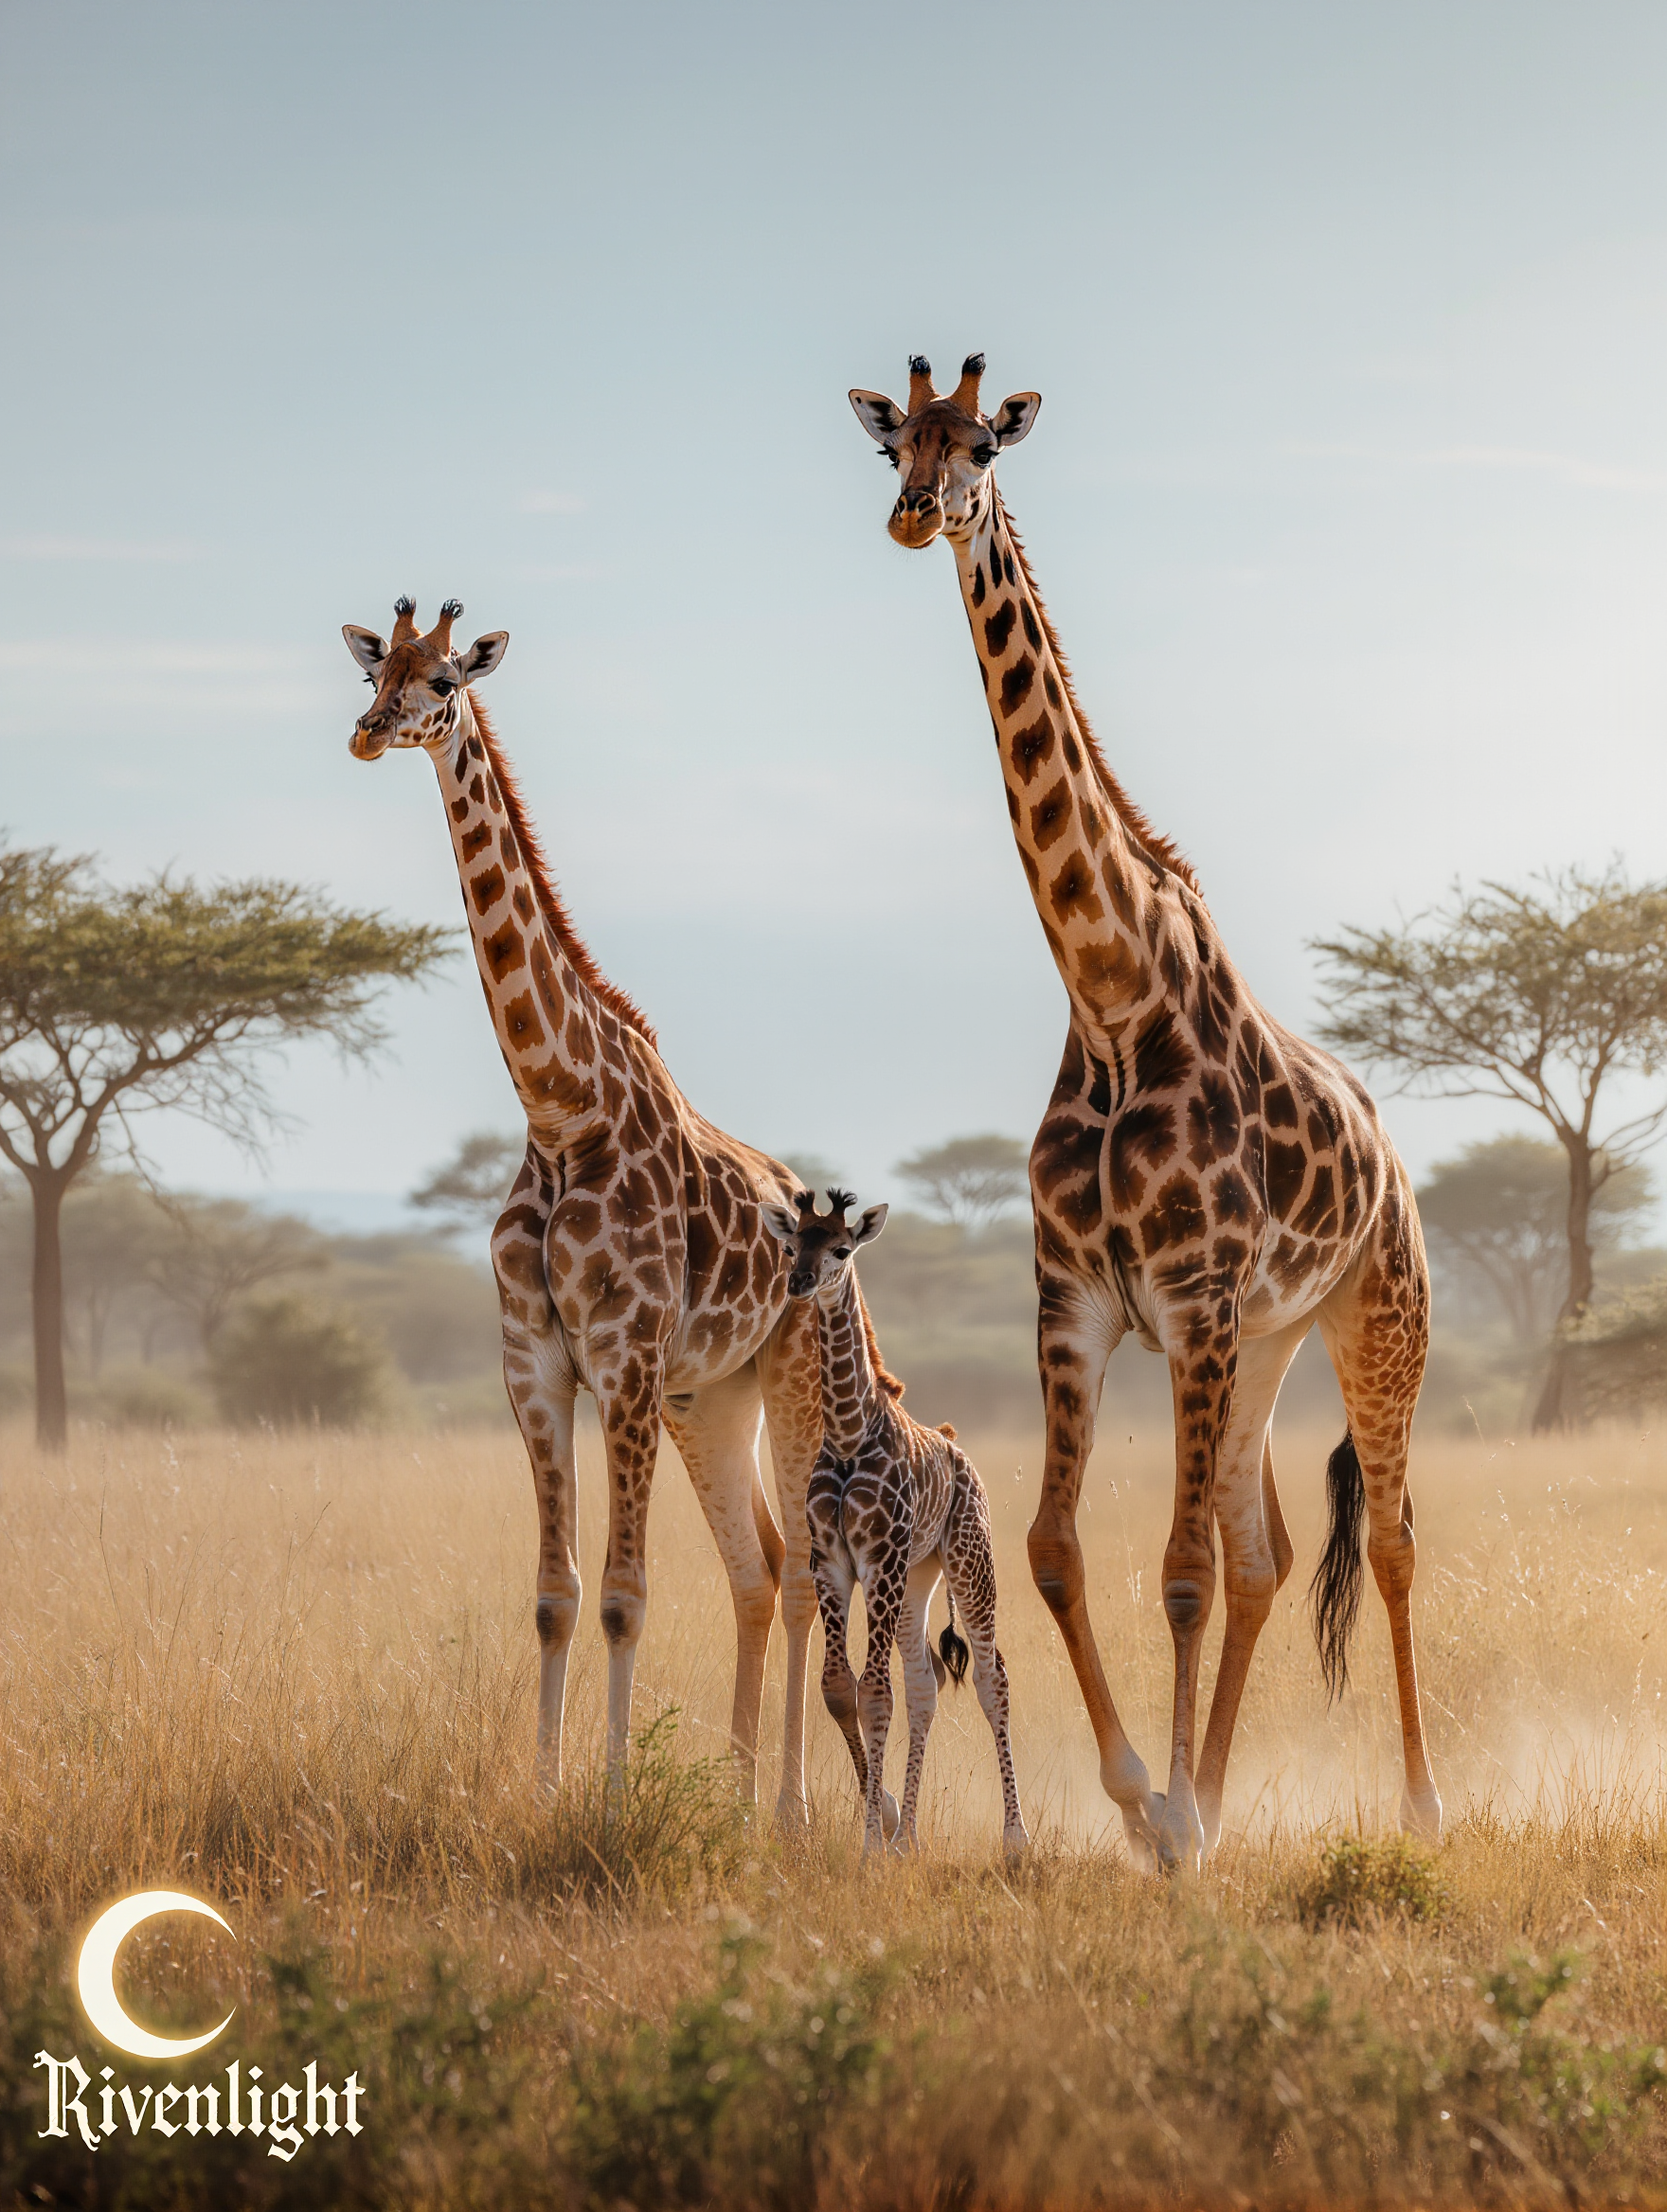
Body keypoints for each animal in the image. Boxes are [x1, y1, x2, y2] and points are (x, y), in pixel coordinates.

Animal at [342, 595, 831, 1827]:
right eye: (378, 672)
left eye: (444, 682)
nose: (367, 732)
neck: (561, 1109)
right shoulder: (537, 1363)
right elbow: (555, 1593)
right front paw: (543, 1789)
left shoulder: (624, 1360)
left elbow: (623, 1591)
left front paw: (608, 1798)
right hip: (712, 1397)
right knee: (756, 1565)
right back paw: (737, 1795)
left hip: (793, 1372)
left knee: (808, 1566)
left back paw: (796, 1807)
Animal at [763, 1189, 1028, 1861]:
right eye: (791, 1244)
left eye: (841, 1248)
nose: (800, 1282)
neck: (848, 1434)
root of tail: (959, 1450)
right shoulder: (833, 1563)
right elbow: (841, 1686)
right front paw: (883, 1822)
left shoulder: (878, 1559)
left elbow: (874, 1692)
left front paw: (869, 1848)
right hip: (917, 1580)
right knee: (925, 1686)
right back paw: (910, 1836)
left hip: (969, 1563)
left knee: (991, 1678)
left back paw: (1015, 1839)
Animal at [848, 357, 1441, 1873]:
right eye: (895, 442)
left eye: (983, 444)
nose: (915, 512)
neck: (1113, 995)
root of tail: (1394, 1156)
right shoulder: (1079, 1295)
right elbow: (1060, 1548)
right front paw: (1145, 1794)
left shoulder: (1189, 1292)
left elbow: (1171, 1571)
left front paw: (1165, 1812)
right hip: (1266, 1341)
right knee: (1268, 1549)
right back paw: (1217, 1796)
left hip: (1370, 1319)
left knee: (1385, 1538)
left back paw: (1415, 1804)